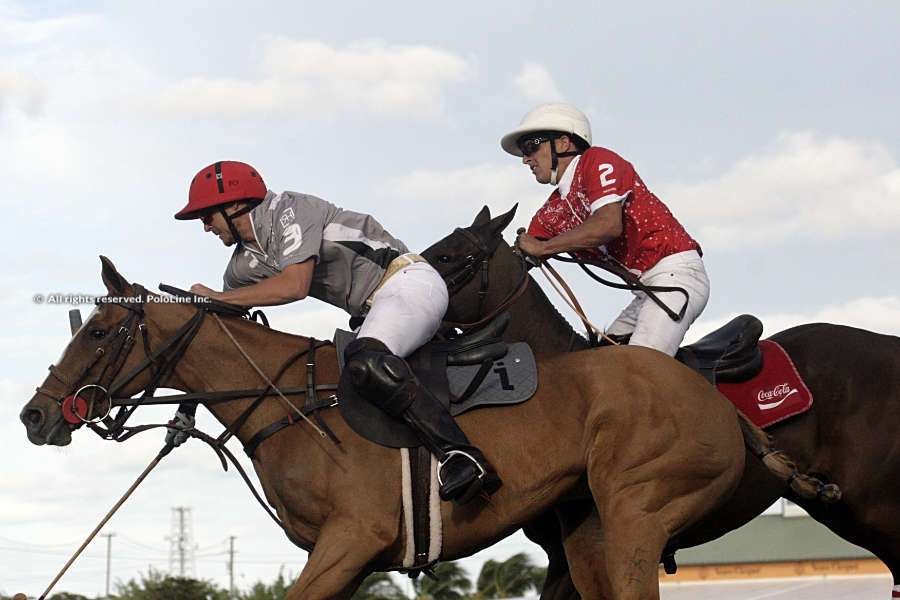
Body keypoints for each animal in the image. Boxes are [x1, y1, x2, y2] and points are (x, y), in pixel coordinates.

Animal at [22, 258, 752, 600]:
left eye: (98, 331)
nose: (35, 415)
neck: (291, 401)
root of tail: (716, 400)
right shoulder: (349, 558)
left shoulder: (351, 539)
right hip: (588, 529)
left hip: (638, 510)